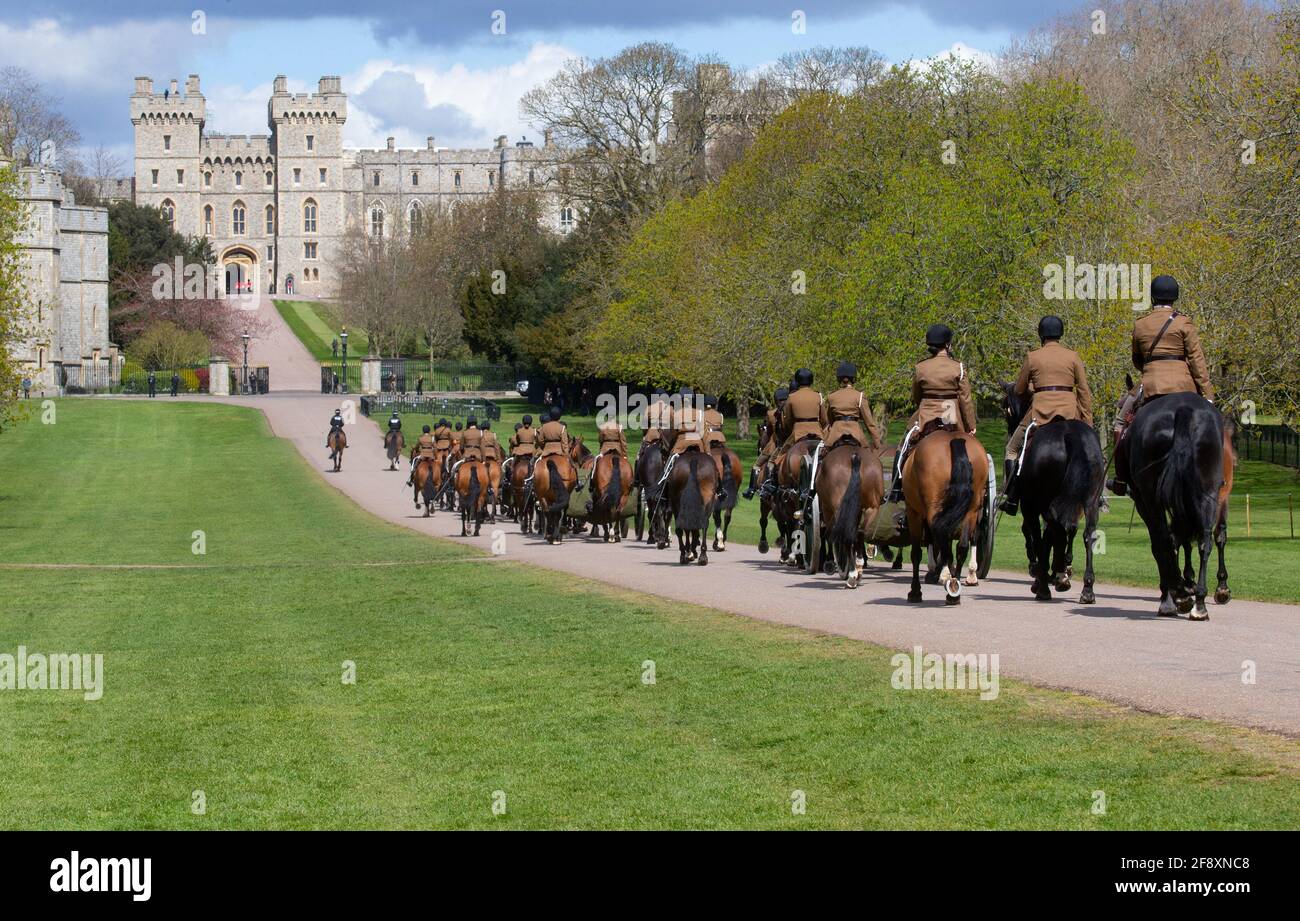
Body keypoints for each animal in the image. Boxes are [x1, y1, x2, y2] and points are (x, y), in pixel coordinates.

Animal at [816, 442, 889, 585]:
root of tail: (855, 457)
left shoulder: (827, 510)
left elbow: (829, 535)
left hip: (837, 509)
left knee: (842, 535)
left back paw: (850, 573)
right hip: (871, 508)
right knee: (859, 533)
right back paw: (858, 569)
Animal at [904, 431, 982, 603]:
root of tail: (955, 438)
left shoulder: (914, 512)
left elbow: (916, 552)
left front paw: (915, 591)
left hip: (932, 510)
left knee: (943, 543)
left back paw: (948, 580)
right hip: (971, 510)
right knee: (961, 547)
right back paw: (954, 589)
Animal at [998, 382, 1102, 603]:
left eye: (1006, 407)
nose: (1011, 431)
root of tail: (1070, 435)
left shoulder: (1030, 507)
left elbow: (1036, 537)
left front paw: (1040, 575)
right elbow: (1048, 539)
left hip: (1044, 503)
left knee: (1058, 531)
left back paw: (1053, 581)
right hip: (1089, 501)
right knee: (1086, 534)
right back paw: (1085, 587)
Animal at [1128, 392, 1227, 619]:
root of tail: (1183, 409)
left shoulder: (1143, 502)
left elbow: (1162, 545)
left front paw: (1176, 591)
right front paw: (1185, 588)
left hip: (1151, 500)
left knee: (1165, 541)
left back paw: (1174, 598)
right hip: (1207, 493)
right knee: (1204, 541)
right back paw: (1200, 603)